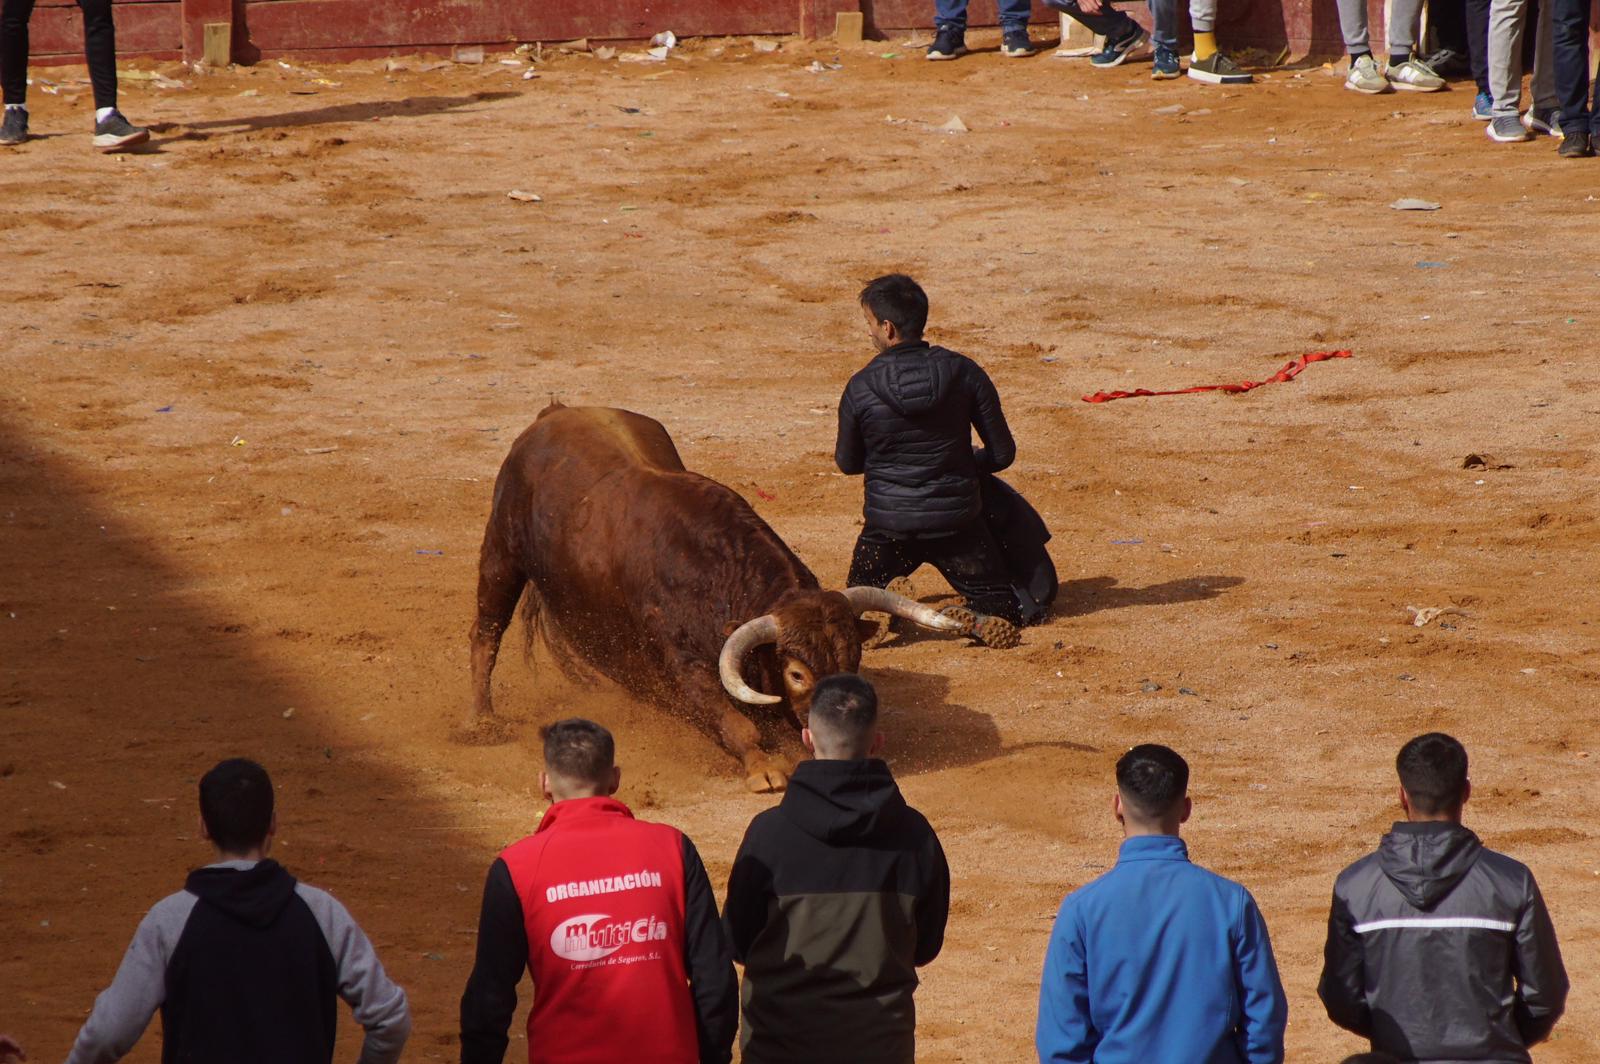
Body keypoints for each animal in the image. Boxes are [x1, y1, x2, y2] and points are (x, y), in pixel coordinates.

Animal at [467, 403, 953, 793]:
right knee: (486, 633)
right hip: (501, 554)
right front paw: (763, 770)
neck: (712, 571)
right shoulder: (683, 665)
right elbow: (735, 722)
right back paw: (484, 722)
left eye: (852, 659)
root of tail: (553, 414)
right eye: (796, 674)